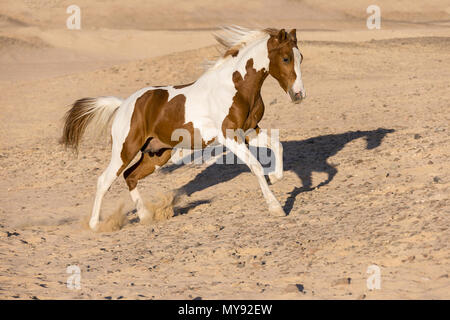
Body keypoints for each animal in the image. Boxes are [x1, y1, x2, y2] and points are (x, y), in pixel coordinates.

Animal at [61, 25, 306, 230]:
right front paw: (276, 207)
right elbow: (255, 165)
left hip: (157, 154)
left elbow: (278, 145)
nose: (299, 95)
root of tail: (124, 105)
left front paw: (274, 177)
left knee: (130, 176)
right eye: (285, 58)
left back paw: (145, 216)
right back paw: (95, 225)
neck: (236, 88)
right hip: (125, 150)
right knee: (105, 180)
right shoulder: (229, 136)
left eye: (300, 58)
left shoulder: (249, 130)